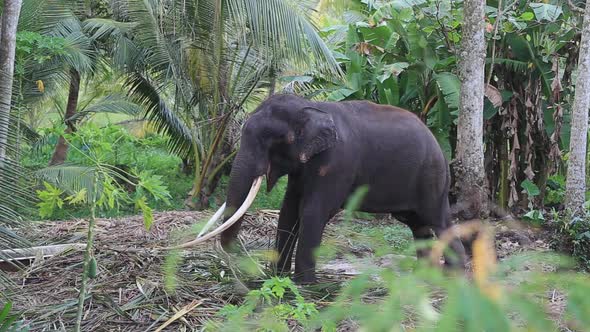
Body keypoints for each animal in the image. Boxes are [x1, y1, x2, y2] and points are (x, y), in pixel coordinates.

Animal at [175, 92, 468, 282]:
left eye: (275, 140)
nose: (248, 264)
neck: (311, 107)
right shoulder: (302, 169)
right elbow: (288, 211)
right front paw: (279, 276)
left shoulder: (336, 163)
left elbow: (312, 212)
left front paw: (305, 285)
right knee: (418, 226)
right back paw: (423, 275)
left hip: (432, 179)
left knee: (438, 222)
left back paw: (452, 275)